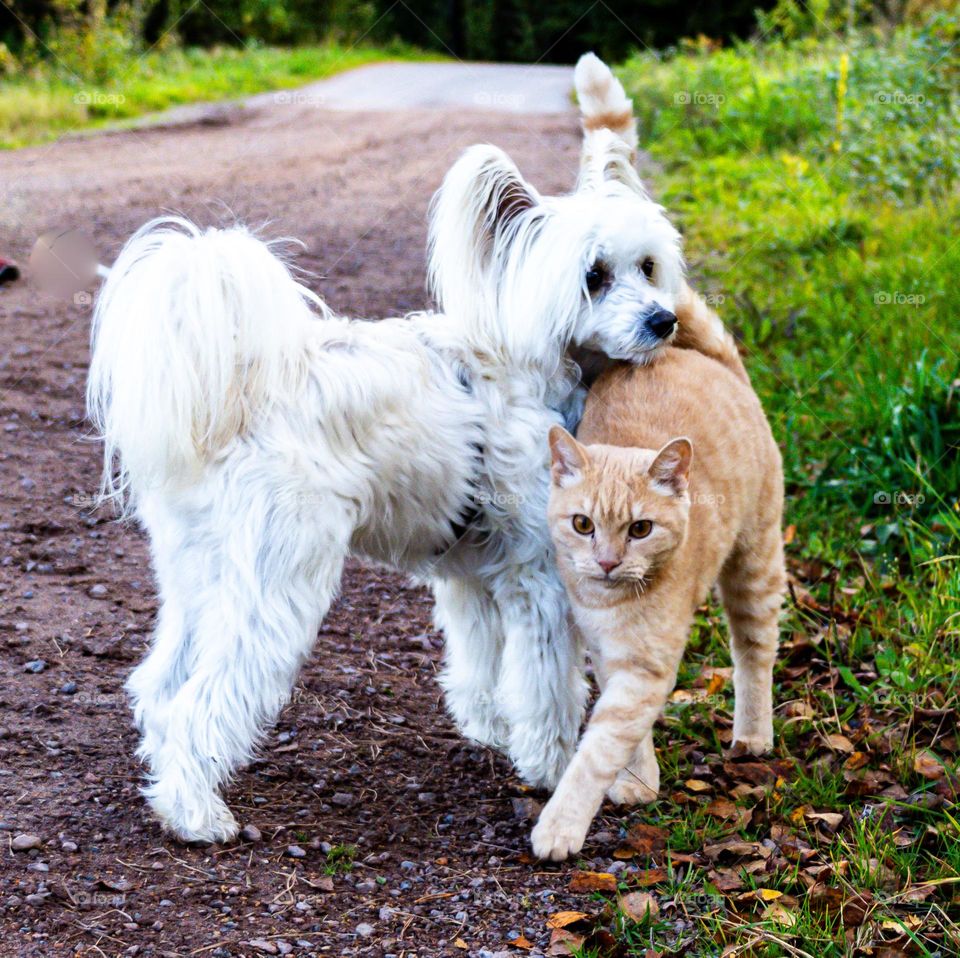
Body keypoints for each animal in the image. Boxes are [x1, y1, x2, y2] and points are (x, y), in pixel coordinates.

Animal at [92, 56, 736, 844]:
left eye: (646, 266)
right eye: (594, 276)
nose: (663, 320)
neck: (531, 367)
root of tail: (242, 394)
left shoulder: (473, 576)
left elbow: (482, 661)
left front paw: (490, 725)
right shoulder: (542, 578)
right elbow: (549, 685)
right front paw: (554, 768)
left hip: (199, 575)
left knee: (160, 685)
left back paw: (165, 784)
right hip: (274, 585)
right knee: (203, 700)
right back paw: (195, 811)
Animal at [532, 344, 788, 864]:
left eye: (640, 529)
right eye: (583, 524)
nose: (607, 562)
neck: (609, 602)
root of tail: (695, 352)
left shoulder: (645, 669)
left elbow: (597, 751)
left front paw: (560, 826)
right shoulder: (606, 655)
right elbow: (627, 732)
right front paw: (636, 779)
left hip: (755, 565)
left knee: (754, 654)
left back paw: (753, 735)